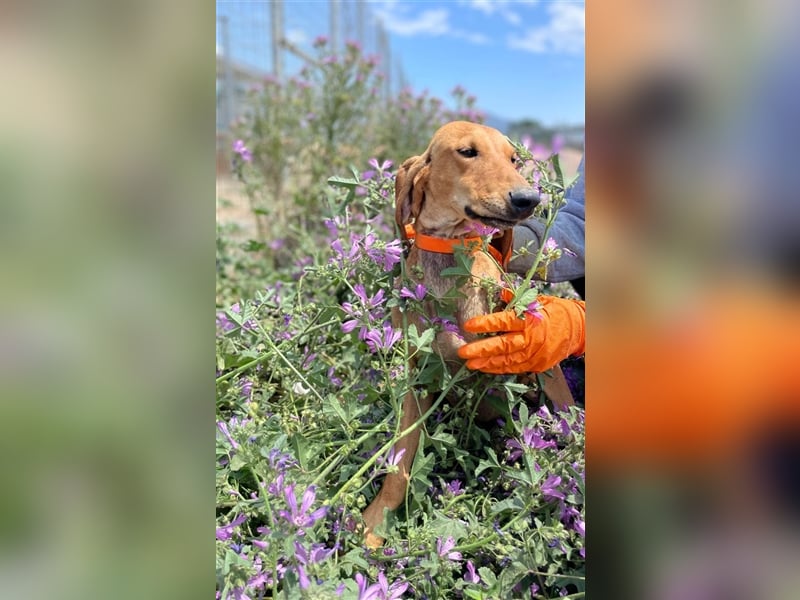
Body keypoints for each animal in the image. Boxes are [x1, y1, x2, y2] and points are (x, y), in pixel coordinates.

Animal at [362, 119, 576, 548]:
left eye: (514, 159)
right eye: (467, 152)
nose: (529, 199)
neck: (451, 255)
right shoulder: (417, 380)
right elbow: (401, 458)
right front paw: (379, 521)